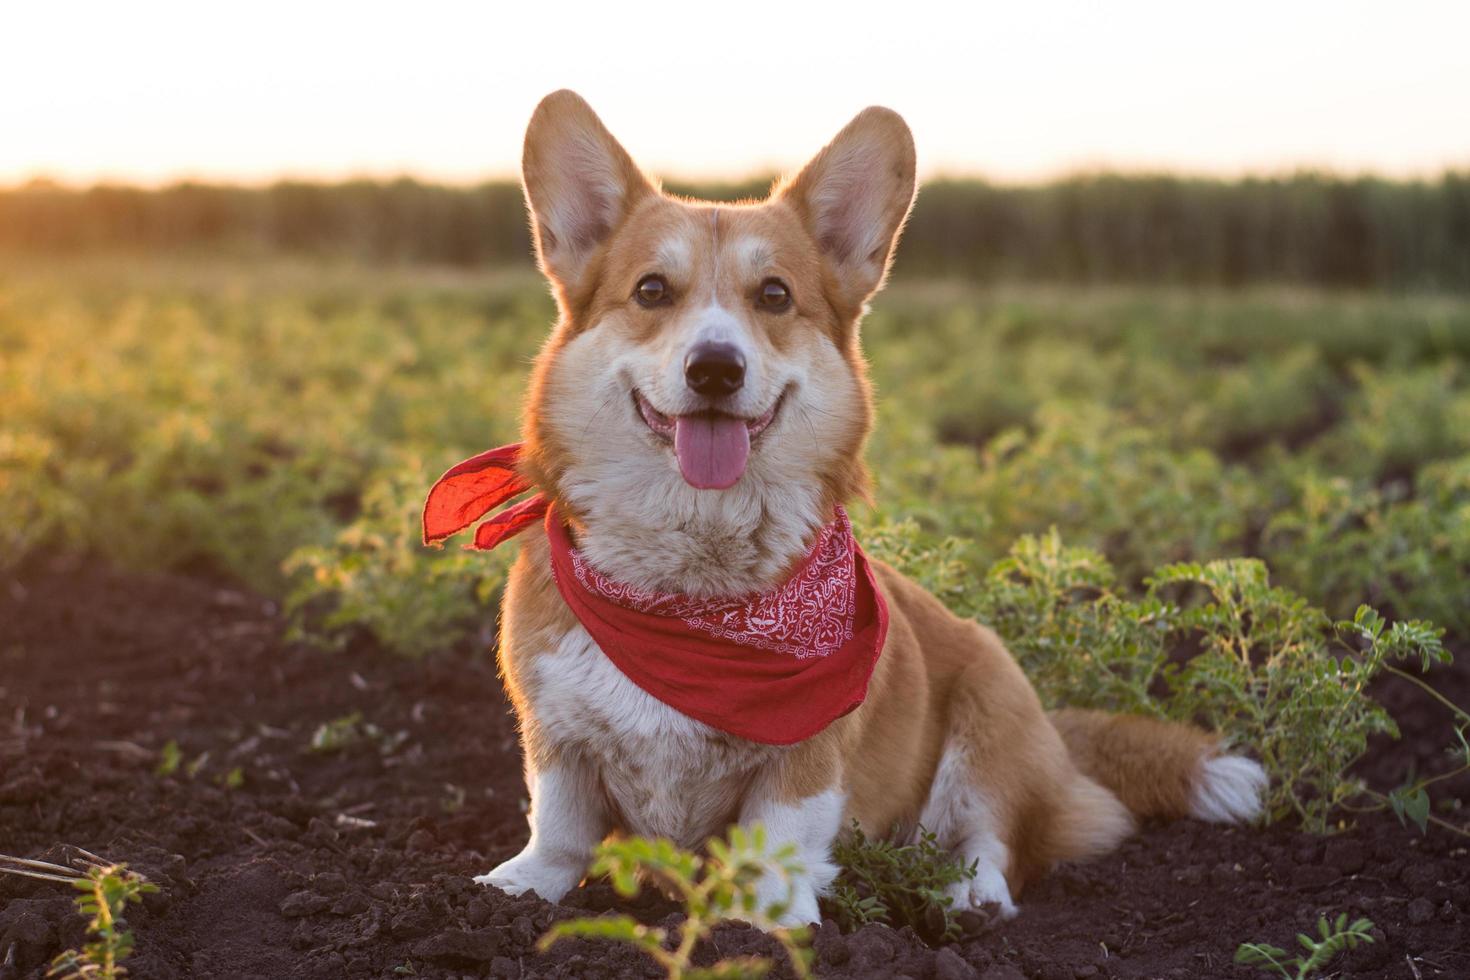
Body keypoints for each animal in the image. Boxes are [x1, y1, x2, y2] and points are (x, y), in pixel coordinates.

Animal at [452, 88, 1270, 922]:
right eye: (651, 290)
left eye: (775, 295)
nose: (715, 368)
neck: (690, 590)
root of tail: (1059, 742)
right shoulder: (556, 734)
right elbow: (560, 822)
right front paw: (518, 889)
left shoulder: (807, 755)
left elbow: (778, 836)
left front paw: (769, 923)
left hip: (989, 714)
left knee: (993, 837)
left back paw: (969, 897)